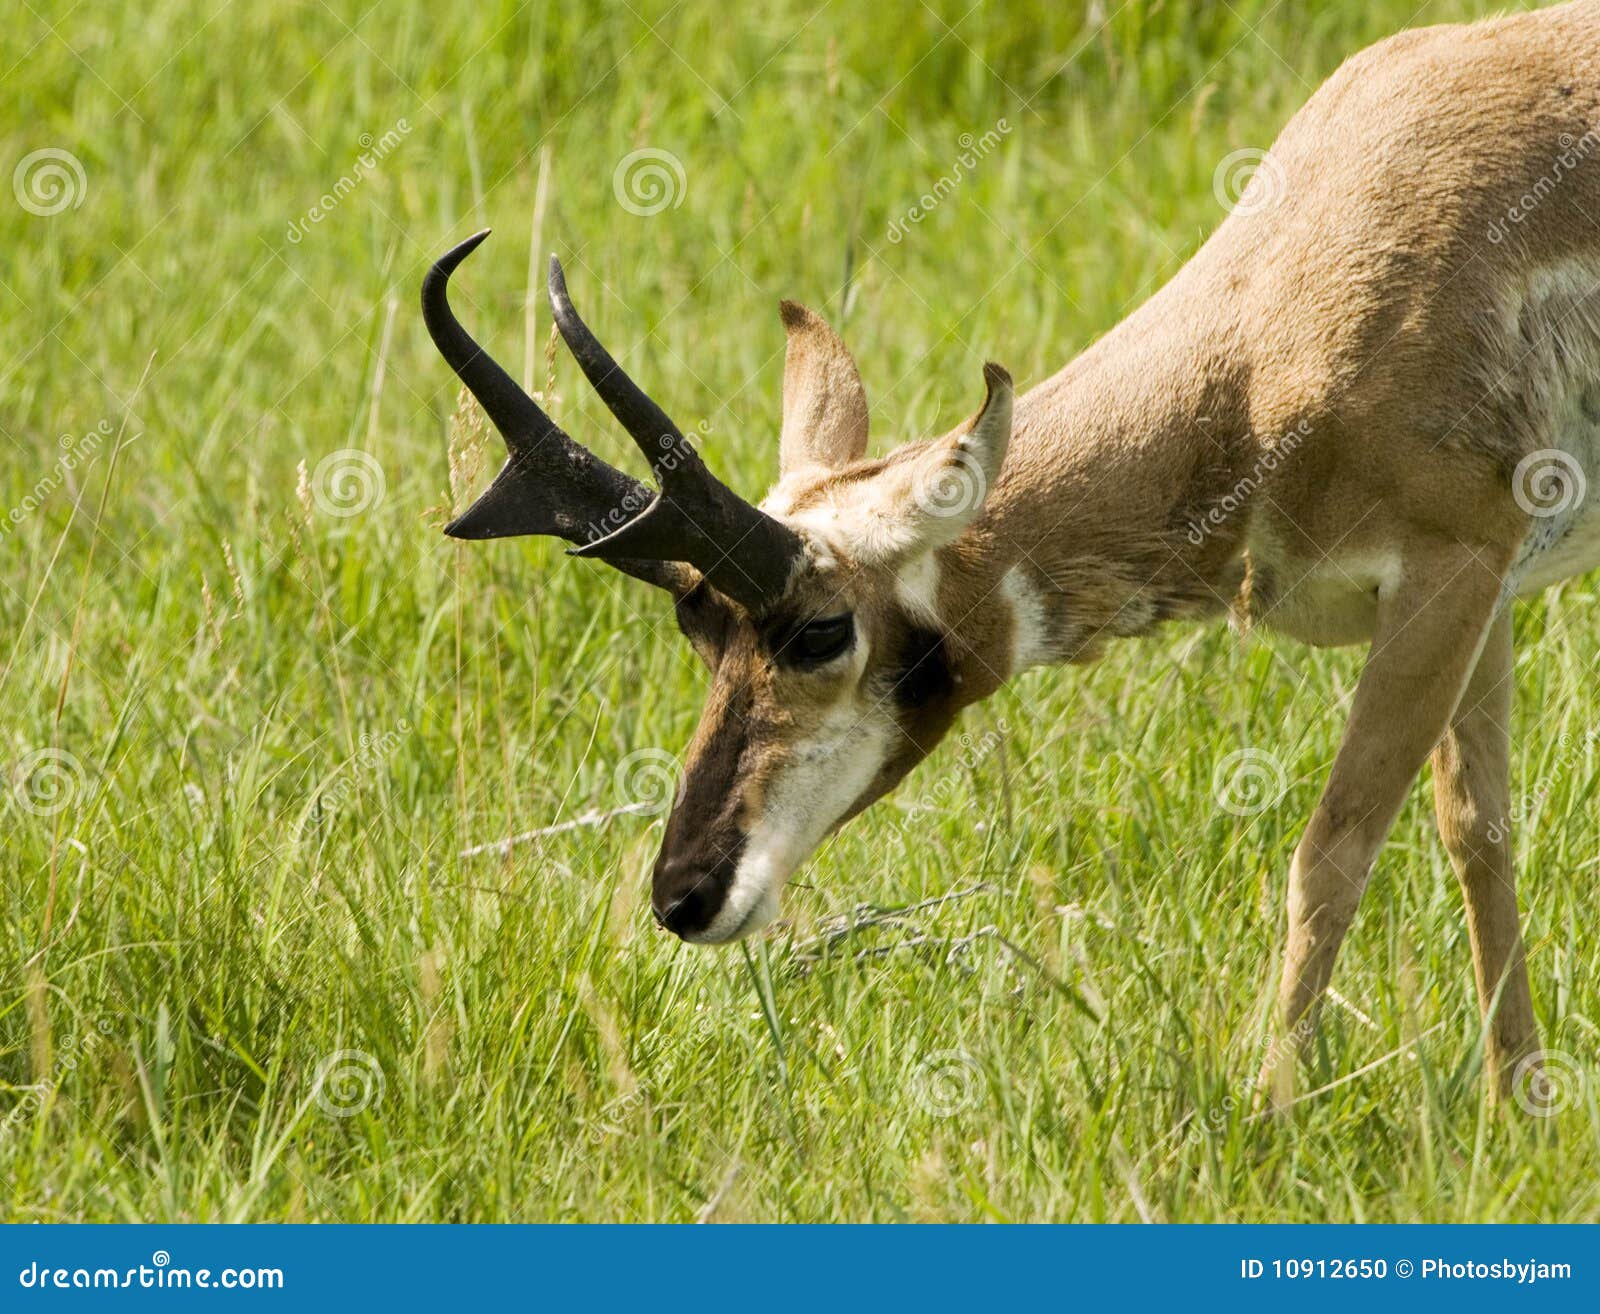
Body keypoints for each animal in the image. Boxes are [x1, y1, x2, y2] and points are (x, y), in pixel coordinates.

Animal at [426, 0, 1600, 1106]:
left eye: (819, 630)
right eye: (697, 629)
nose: (682, 895)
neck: (1260, 353)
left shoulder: (1448, 573)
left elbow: (1334, 849)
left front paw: (1272, 1113)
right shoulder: (1482, 595)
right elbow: (1479, 832)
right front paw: (1519, 1107)